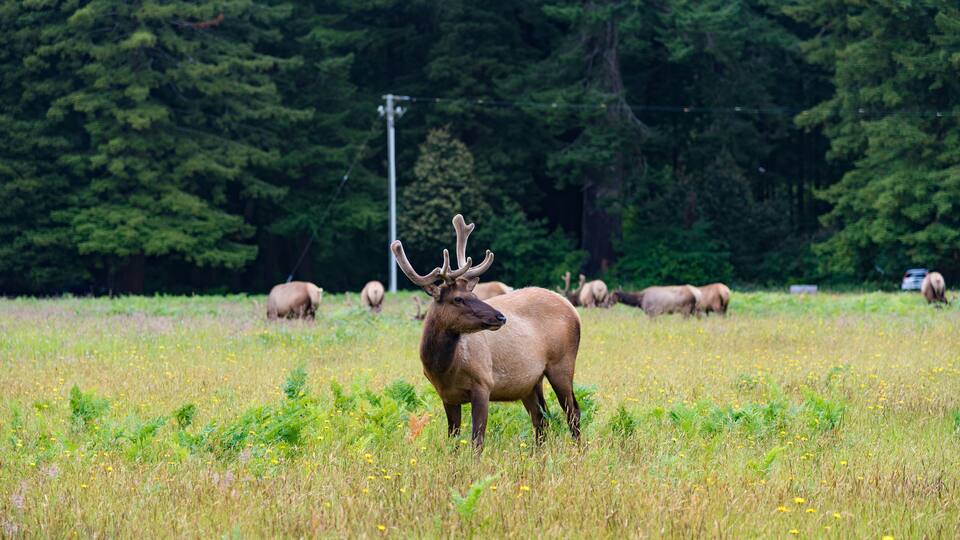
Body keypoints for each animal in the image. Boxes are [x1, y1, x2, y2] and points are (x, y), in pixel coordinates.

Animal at [392, 214, 582, 450]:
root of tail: (573, 309)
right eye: (458, 298)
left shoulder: (483, 383)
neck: (444, 369)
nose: (501, 317)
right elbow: (453, 439)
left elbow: (477, 440)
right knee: (541, 418)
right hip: (529, 382)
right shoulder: (447, 396)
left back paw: (578, 452)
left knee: (573, 412)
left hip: (562, 364)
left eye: (474, 295)